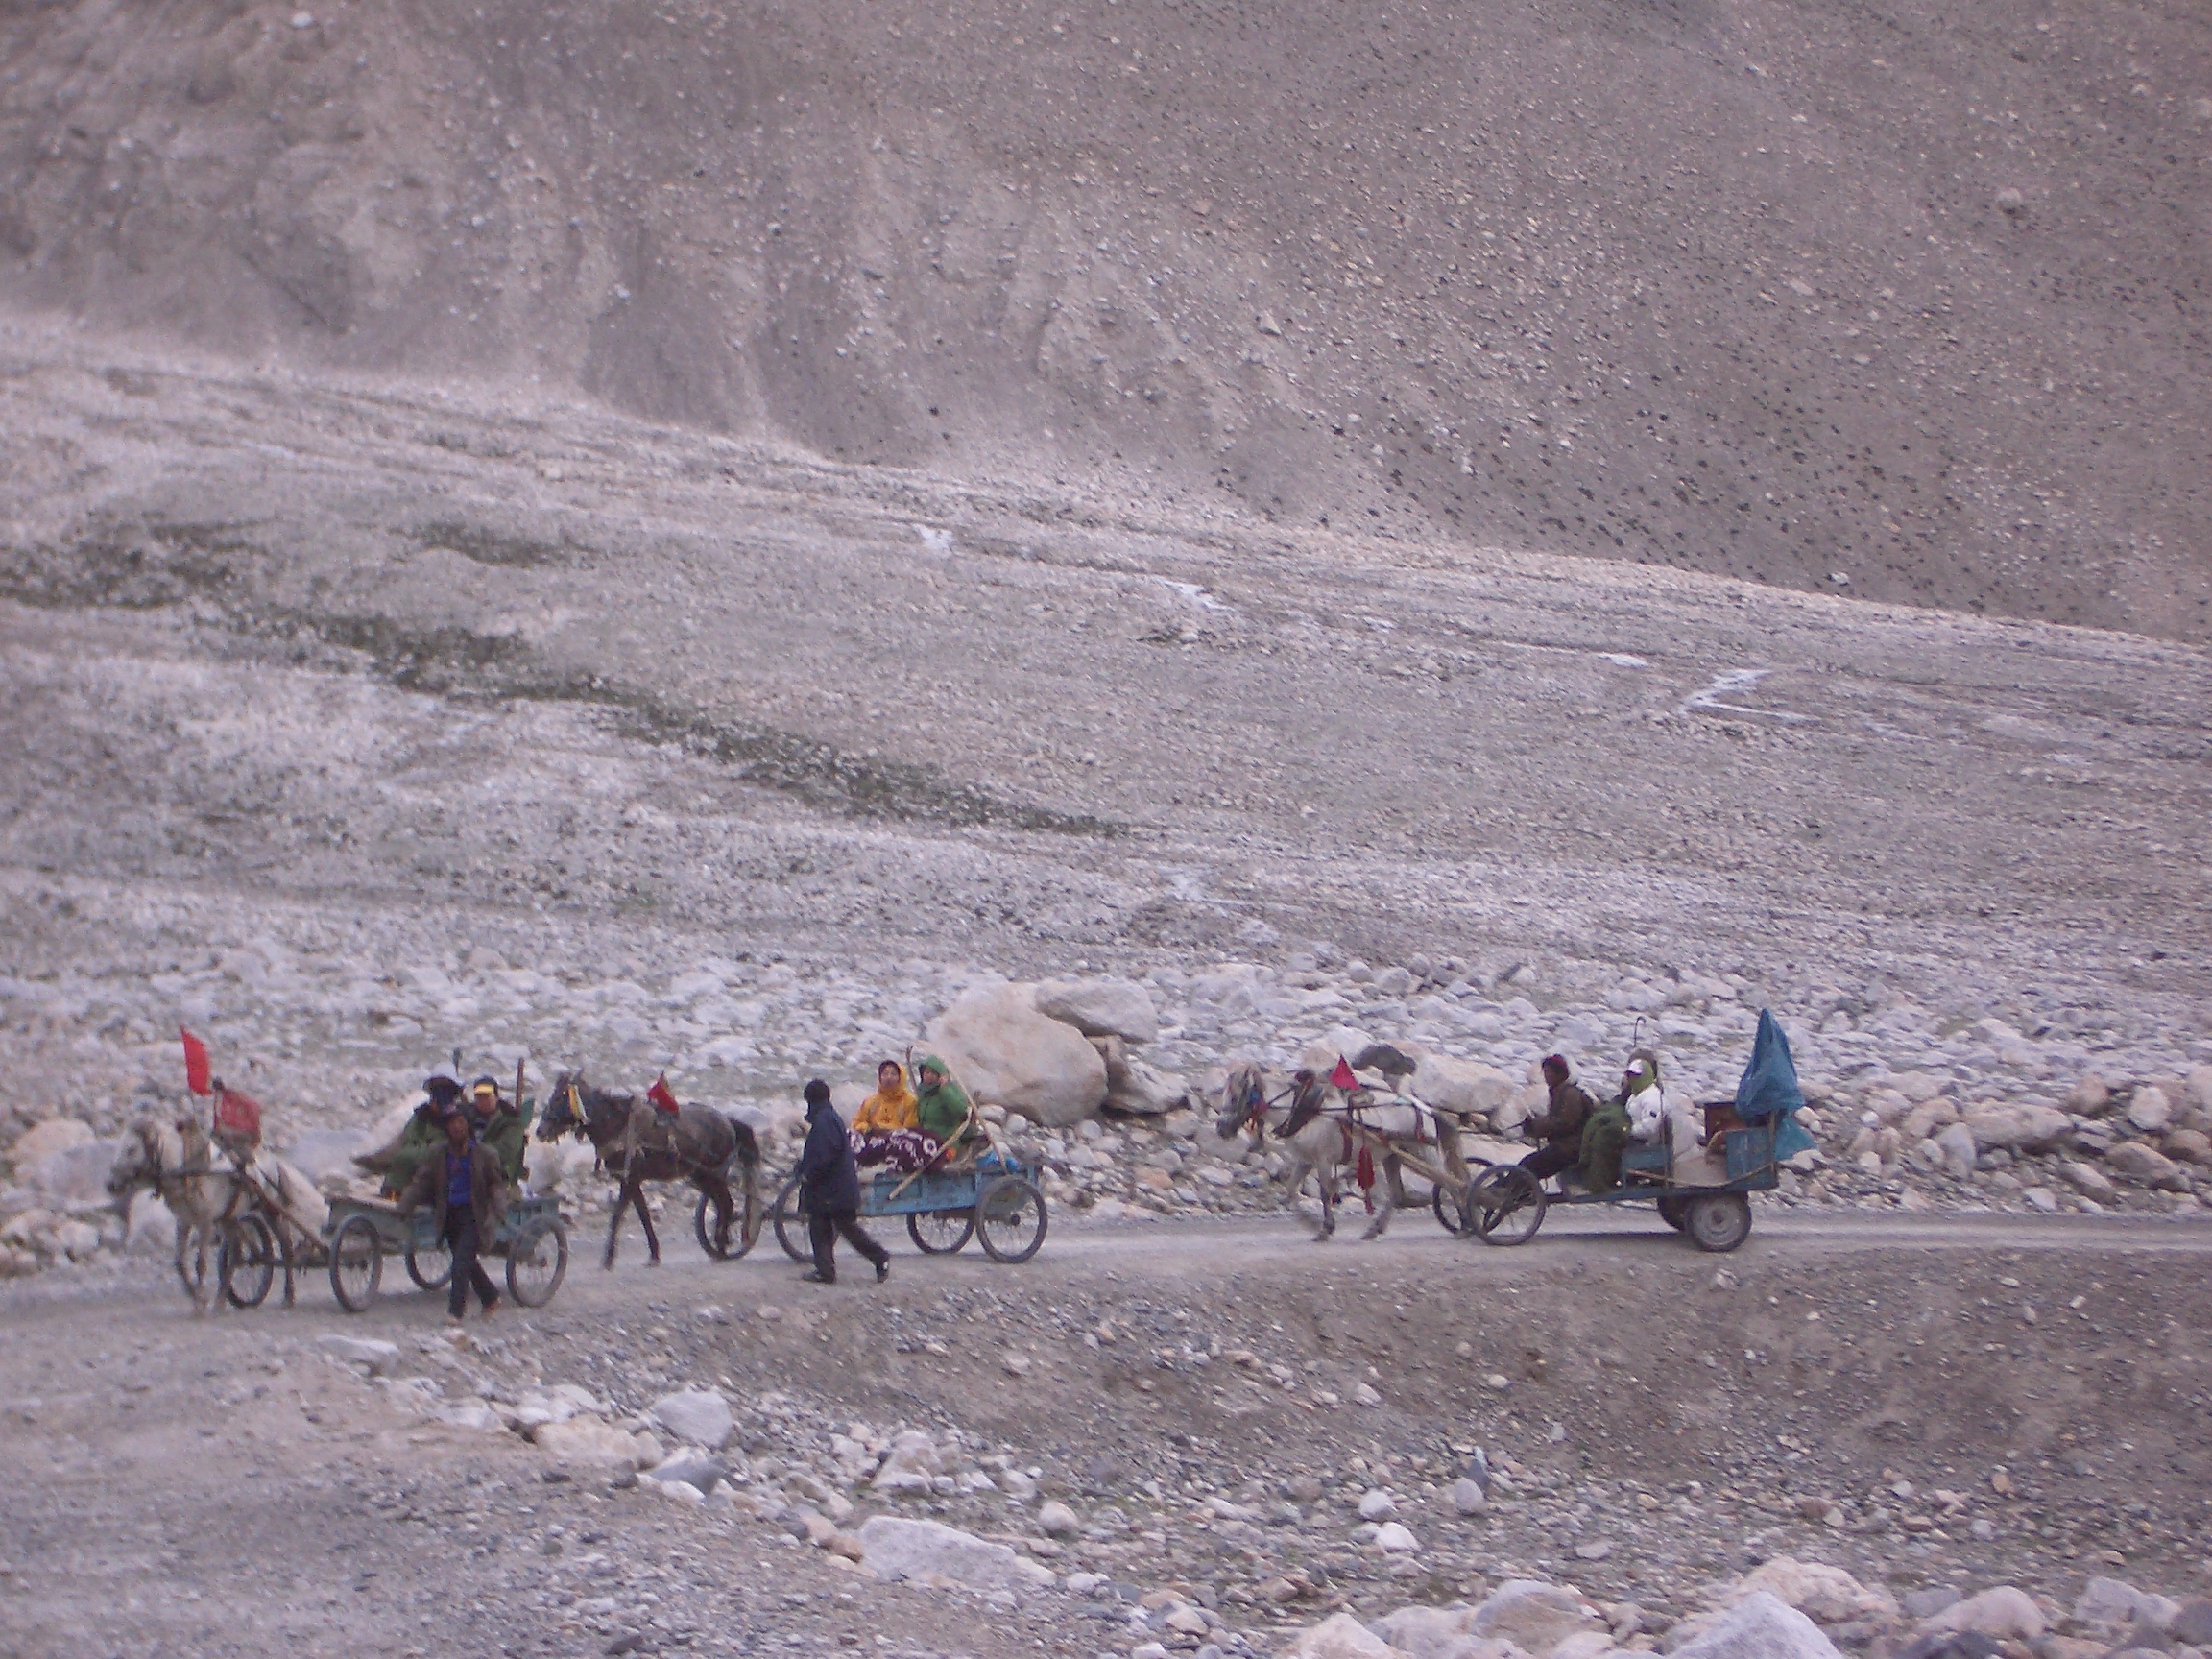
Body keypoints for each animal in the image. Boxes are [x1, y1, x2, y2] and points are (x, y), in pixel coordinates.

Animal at [106, 1116, 329, 1310]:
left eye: (131, 1149)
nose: (111, 1185)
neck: (191, 1171)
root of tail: (274, 1161)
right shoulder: (184, 1221)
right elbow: (180, 1262)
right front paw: (198, 1298)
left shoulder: (206, 1221)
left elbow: (201, 1263)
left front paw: (201, 1303)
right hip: (230, 1219)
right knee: (238, 1255)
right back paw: (221, 1301)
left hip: (270, 1211)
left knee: (286, 1247)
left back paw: (288, 1297)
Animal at [537, 1071, 760, 1269]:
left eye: (561, 1097)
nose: (540, 1131)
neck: (617, 1125)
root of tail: (727, 1121)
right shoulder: (631, 1180)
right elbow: (643, 1215)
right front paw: (653, 1255)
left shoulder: (629, 1180)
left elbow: (617, 1216)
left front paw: (608, 1259)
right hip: (702, 1175)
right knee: (722, 1205)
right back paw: (720, 1246)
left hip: (715, 1175)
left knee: (727, 1205)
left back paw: (722, 1247)